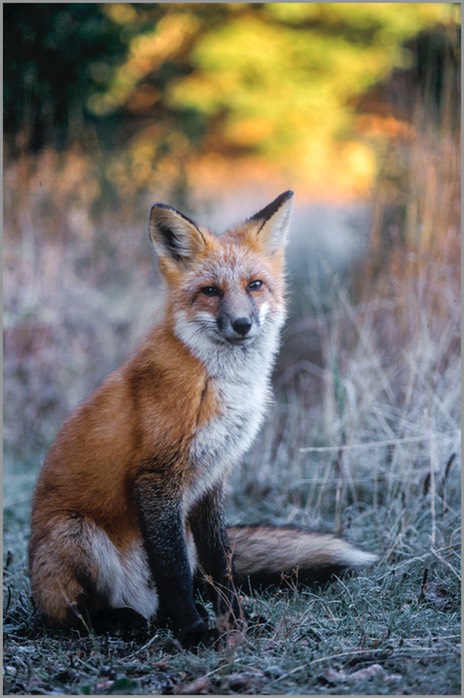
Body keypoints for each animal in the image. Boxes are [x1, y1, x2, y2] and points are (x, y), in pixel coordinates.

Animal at [28, 192, 376, 648]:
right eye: (210, 291)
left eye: (254, 285)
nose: (242, 324)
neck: (220, 385)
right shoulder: (158, 478)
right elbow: (173, 571)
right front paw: (194, 631)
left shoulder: (213, 476)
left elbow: (221, 563)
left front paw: (236, 621)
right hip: (75, 533)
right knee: (73, 615)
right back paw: (120, 621)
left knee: (191, 581)